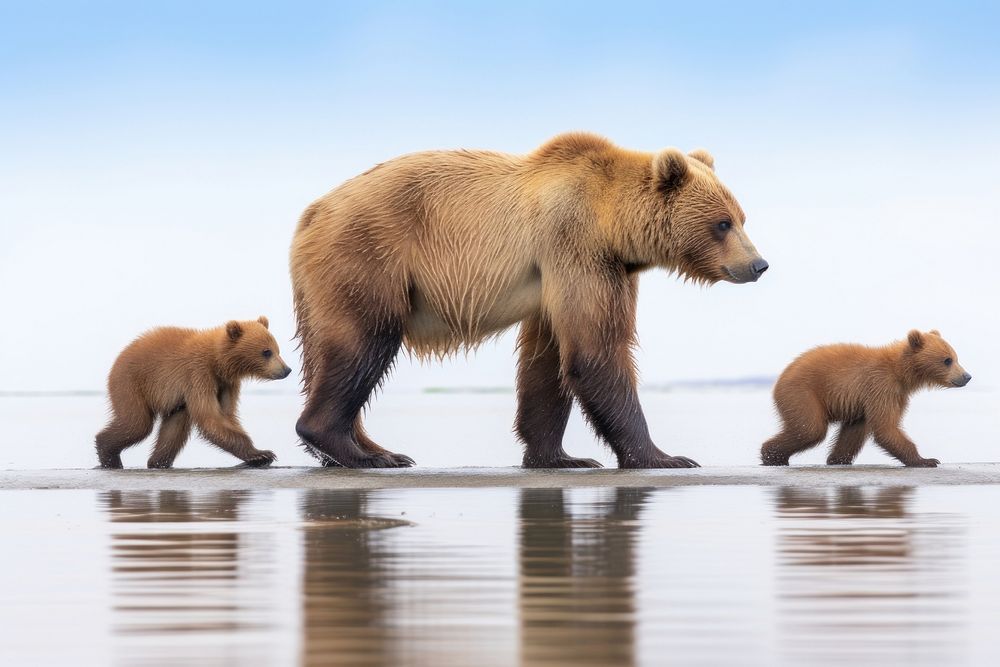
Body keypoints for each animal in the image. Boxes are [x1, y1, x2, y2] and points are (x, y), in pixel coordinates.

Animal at [290, 133, 764, 470]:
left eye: (742, 218)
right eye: (722, 223)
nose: (758, 264)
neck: (612, 224)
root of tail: (311, 214)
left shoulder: (566, 276)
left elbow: (547, 364)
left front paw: (562, 457)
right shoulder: (578, 249)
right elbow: (596, 352)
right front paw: (664, 457)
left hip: (321, 287)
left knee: (324, 354)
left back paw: (368, 448)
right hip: (368, 259)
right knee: (364, 344)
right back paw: (362, 452)